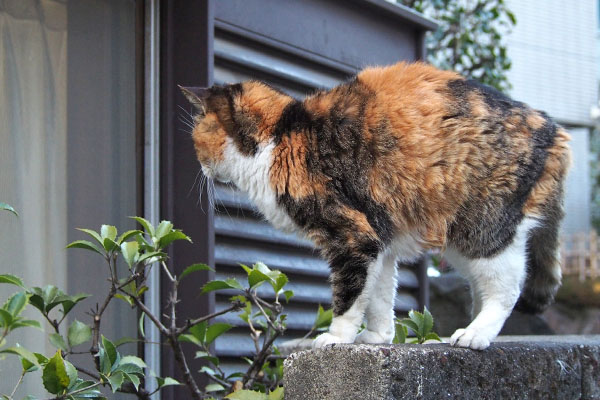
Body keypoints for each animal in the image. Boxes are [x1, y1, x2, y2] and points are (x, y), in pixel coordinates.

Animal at [180, 61, 568, 350]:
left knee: (507, 288)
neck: (281, 138)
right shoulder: (380, 239)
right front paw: (377, 337)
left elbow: (349, 295)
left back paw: (474, 334)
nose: (198, 165)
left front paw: (336, 338)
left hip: (479, 227)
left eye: (197, 137)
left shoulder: (353, 236)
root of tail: (555, 130)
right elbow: (380, 296)